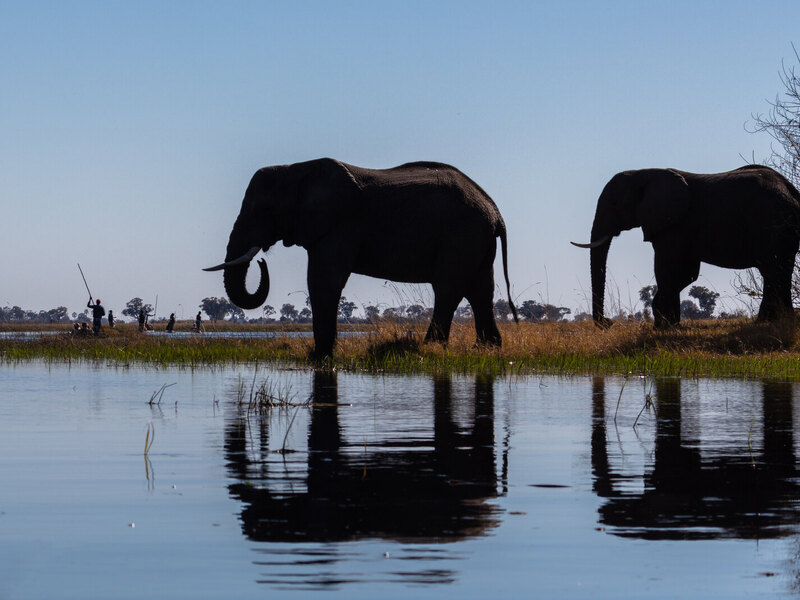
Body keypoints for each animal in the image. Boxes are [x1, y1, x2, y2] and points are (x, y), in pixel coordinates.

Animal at [204, 158, 518, 356]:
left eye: (264, 210)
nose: (261, 259)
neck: (295, 169)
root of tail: (496, 211)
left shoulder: (341, 224)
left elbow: (323, 281)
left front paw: (321, 356)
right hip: (476, 238)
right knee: (480, 291)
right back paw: (486, 349)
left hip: (461, 234)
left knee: (448, 289)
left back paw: (430, 348)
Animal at [572, 165, 800, 328]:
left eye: (614, 204)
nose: (609, 323)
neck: (645, 173)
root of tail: (791, 190)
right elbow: (687, 274)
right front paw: (664, 323)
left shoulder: (673, 225)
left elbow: (667, 270)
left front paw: (664, 327)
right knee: (779, 272)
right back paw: (779, 321)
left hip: (771, 224)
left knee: (773, 271)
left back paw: (769, 322)